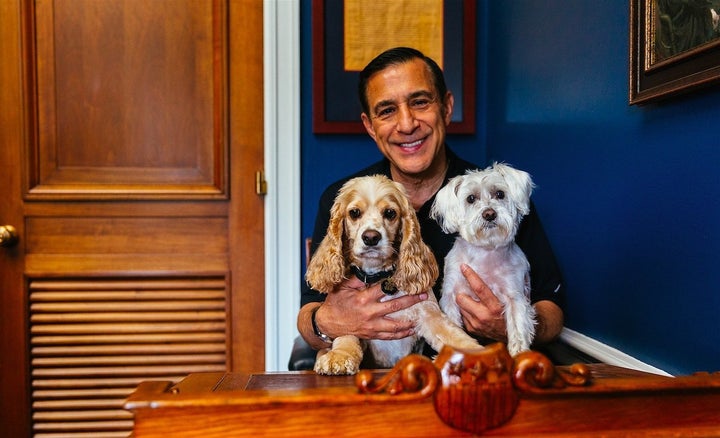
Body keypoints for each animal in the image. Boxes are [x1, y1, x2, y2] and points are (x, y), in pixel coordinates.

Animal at [428, 163, 536, 354]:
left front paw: (518, 353)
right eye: (471, 198)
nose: (489, 214)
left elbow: (518, 327)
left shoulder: (515, 296)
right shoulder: (451, 295)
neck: (485, 252)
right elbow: (452, 328)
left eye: (500, 194)